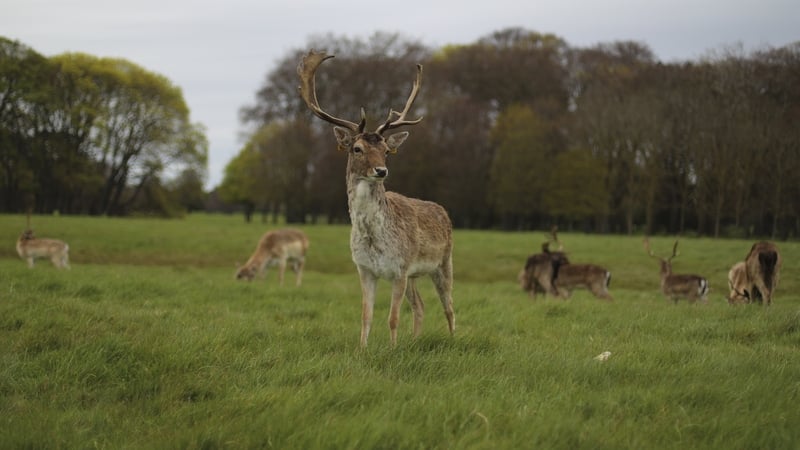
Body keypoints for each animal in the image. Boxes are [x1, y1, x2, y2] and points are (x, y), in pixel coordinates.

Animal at [297, 50, 455, 347]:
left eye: (386, 150)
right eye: (357, 148)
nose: (381, 171)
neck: (374, 239)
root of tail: (443, 211)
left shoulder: (399, 268)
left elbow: (392, 318)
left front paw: (393, 350)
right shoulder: (365, 270)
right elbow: (366, 316)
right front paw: (363, 349)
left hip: (444, 262)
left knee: (449, 306)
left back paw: (452, 340)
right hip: (415, 274)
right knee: (420, 305)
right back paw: (415, 341)